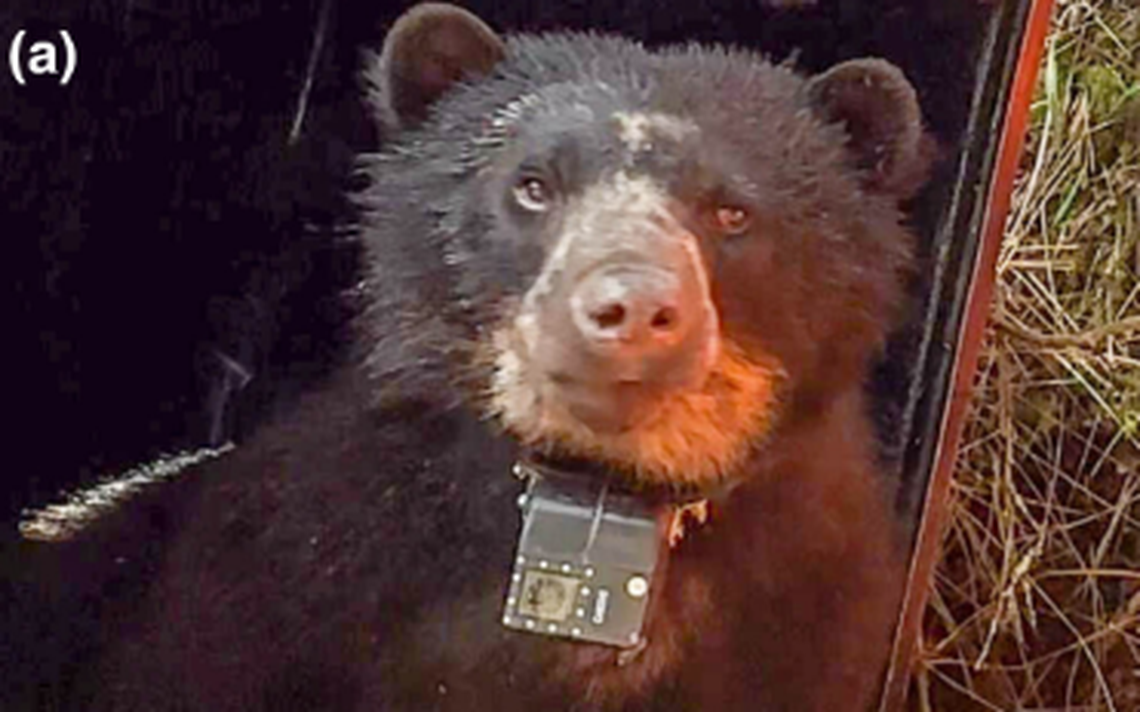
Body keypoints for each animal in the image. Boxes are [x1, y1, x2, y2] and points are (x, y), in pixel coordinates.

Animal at [13, 3, 933, 710]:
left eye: (733, 212)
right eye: (531, 185)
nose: (632, 311)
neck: (599, 495)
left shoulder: (804, 620)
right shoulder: (296, 585)